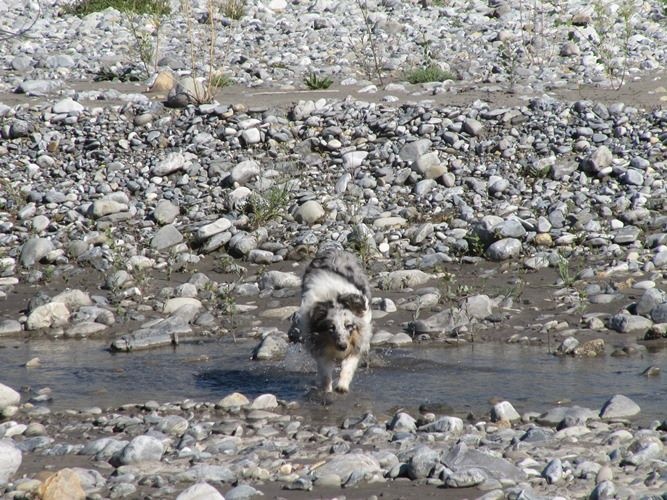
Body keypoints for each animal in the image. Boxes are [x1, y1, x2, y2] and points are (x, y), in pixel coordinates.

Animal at [294, 246, 374, 394]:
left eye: (349, 326)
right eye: (331, 328)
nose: (342, 346)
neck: (333, 300)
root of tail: (333, 250)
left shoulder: (356, 344)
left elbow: (348, 367)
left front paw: (342, 386)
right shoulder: (320, 348)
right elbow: (325, 373)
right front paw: (327, 391)